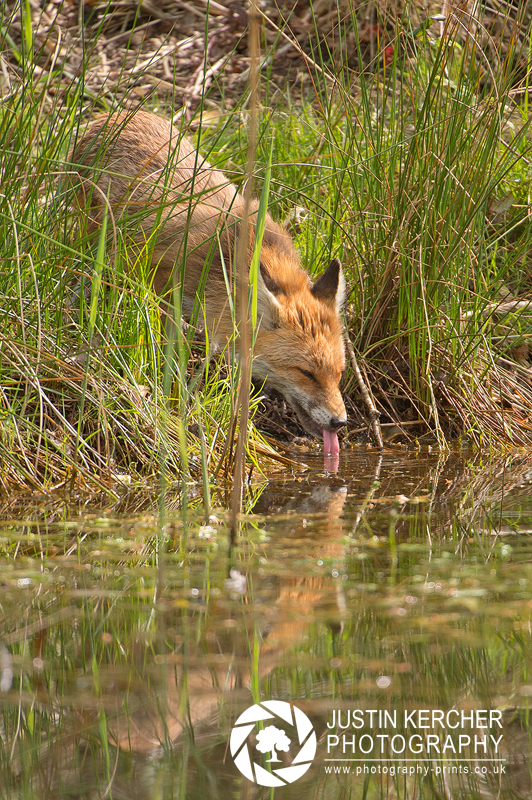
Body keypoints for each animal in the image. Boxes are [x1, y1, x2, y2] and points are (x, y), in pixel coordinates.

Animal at [68, 109, 348, 454]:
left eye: (339, 374)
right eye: (306, 373)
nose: (340, 422)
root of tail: (115, 113)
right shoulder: (164, 284)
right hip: (94, 236)